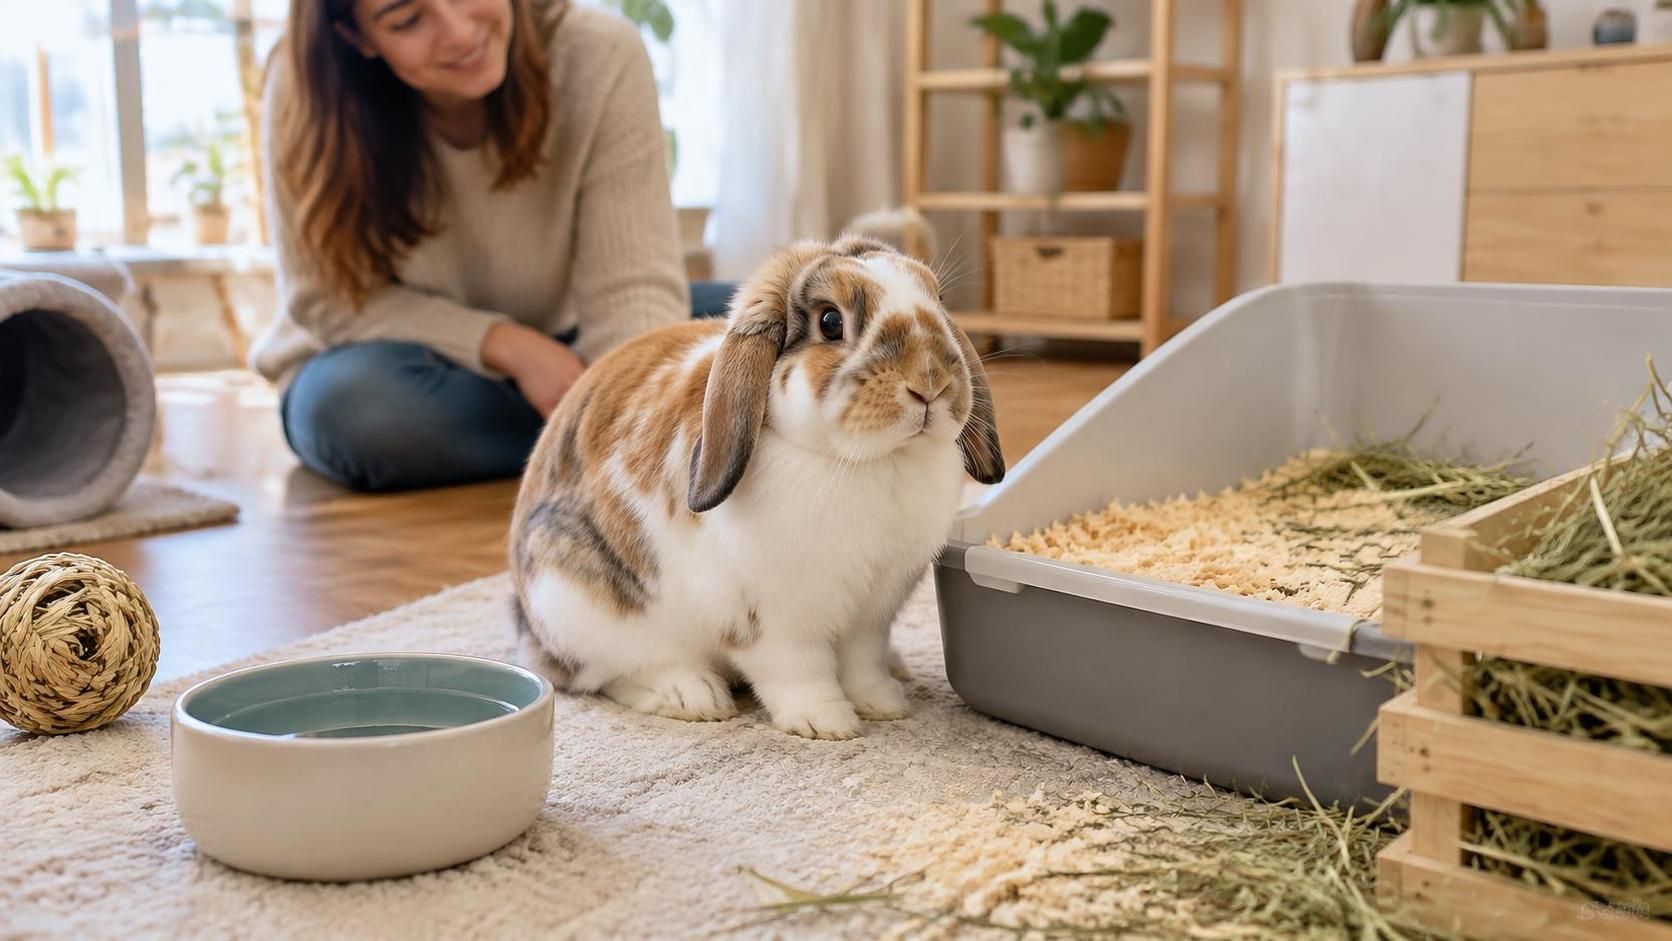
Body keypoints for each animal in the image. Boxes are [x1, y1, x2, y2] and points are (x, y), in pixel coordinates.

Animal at [507, 235, 1004, 740]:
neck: (874, 462)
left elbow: (862, 664)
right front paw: (826, 722)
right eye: (830, 322)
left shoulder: (870, 617)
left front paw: (883, 704)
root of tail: (529, 632)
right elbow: (798, 672)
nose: (930, 383)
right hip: (580, 604)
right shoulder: (774, 623)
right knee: (610, 673)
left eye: (937, 300)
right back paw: (692, 696)